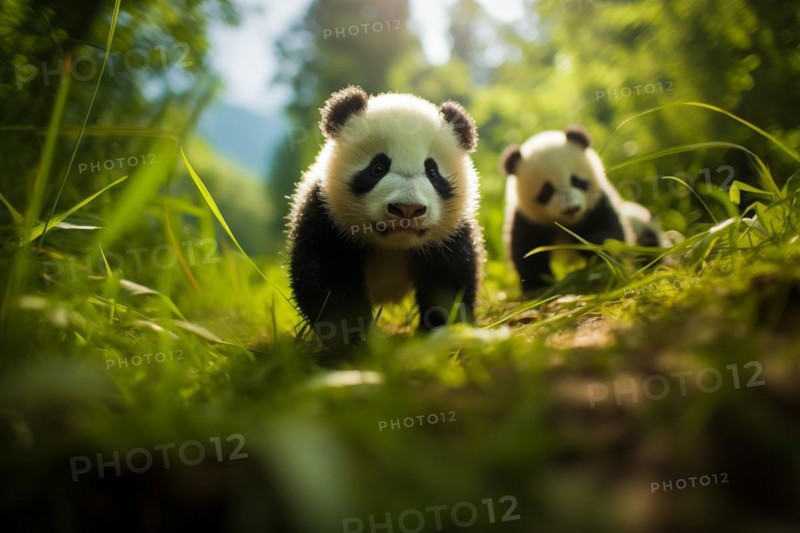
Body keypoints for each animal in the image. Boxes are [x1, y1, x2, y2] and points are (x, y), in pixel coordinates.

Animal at [288, 86, 484, 349]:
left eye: (432, 172)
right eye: (377, 168)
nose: (407, 209)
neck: (393, 245)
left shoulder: (450, 235)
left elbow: (450, 280)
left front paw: (442, 331)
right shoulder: (325, 216)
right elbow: (326, 277)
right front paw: (354, 339)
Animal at [500, 126, 667, 292]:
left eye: (576, 180)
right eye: (546, 190)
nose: (571, 209)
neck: (567, 224)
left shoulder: (599, 203)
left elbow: (609, 234)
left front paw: (590, 249)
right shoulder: (527, 218)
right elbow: (528, 252)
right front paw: (538, 286)